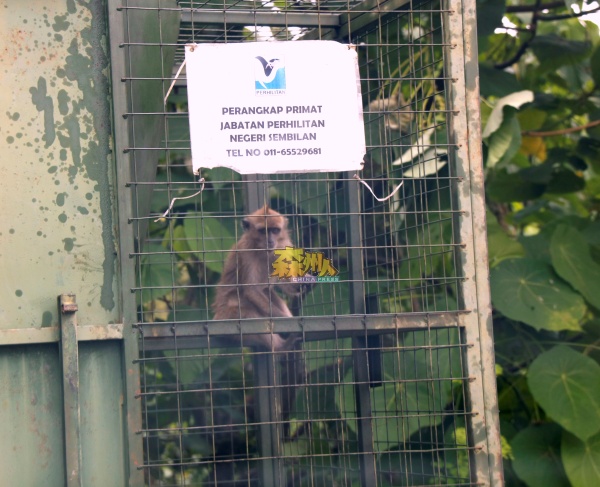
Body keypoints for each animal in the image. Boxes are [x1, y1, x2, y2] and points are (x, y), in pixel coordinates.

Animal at [212, 206, 304, 350]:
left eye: (275, 230)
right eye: (262, 231)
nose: (270, 241)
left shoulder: (282, 246)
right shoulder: (246, 251)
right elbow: (252, 290)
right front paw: (285, 319)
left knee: (267, 292)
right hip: (226, 317)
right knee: (248, 315)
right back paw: (281, 346)